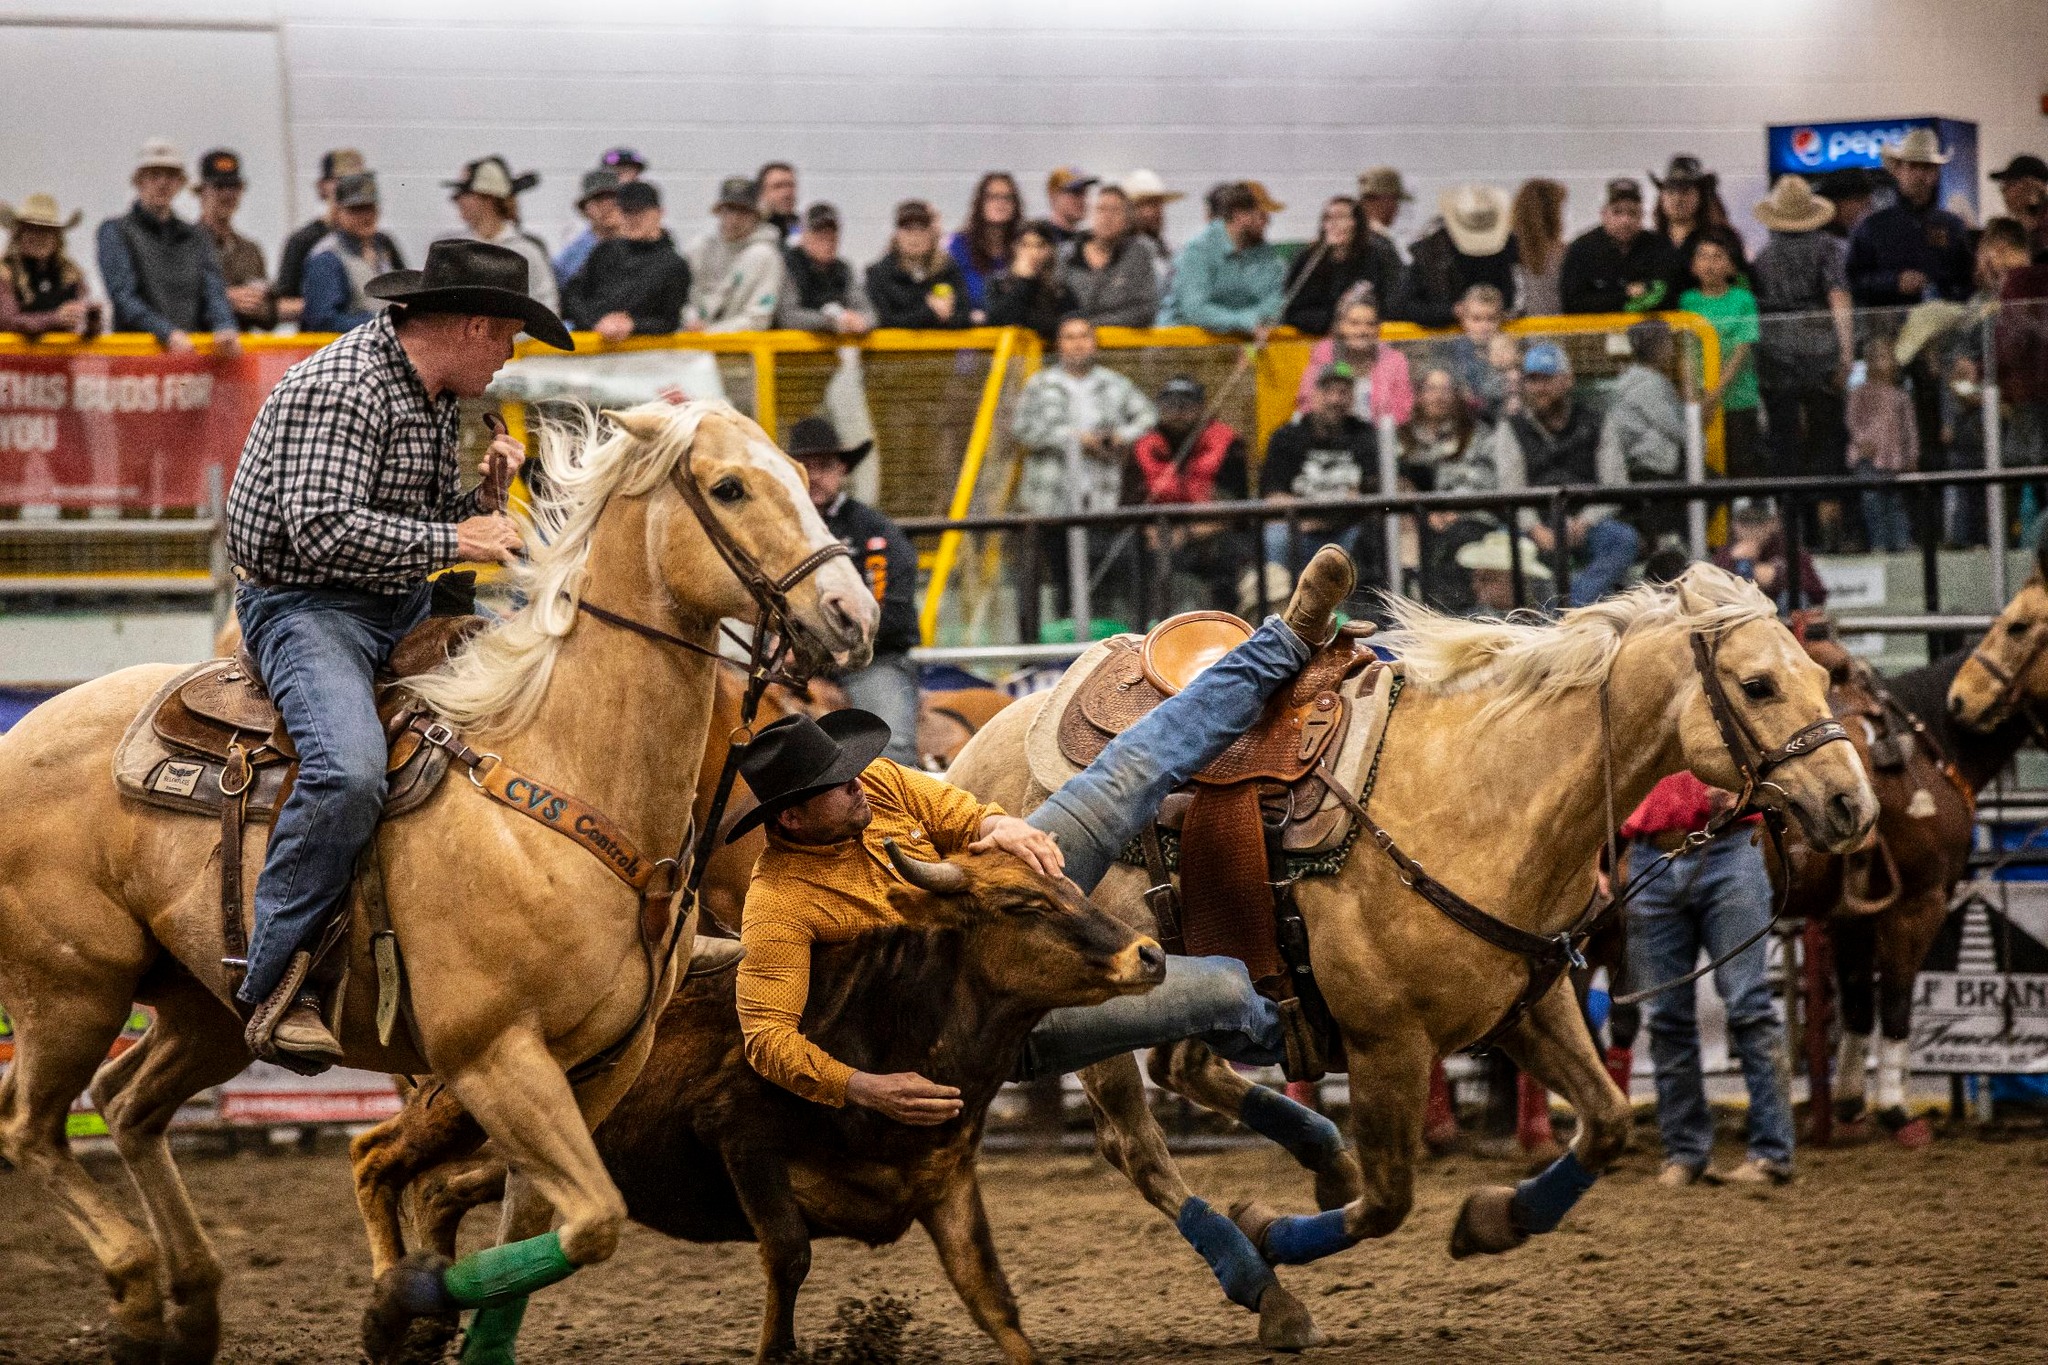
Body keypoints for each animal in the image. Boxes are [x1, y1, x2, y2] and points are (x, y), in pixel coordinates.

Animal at [0, 401, 872, 1358]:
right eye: (729, 486)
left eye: (799, 476)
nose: (852, 611)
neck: (557, 771)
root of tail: (24, 730)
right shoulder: (493, 1057)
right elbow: (592, 1221)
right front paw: (399, 1305)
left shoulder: (597, 1067)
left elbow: (552, 1236)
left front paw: (435, 1317)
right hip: (71, 990)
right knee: (30, 1127)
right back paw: (134, 1288)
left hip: (208, 1010)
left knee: (127, 1105)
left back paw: (193, 1298)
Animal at [942, 560, 1875, 1342]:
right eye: (1757, 684)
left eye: (1822, 675)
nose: (1853, 805)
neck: (1479, 795)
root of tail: (970, 760)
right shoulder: (1388, 1042)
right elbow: (1388, 1200)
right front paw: (1273, 1230)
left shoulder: (1529, 1005)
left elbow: (1607, 1123)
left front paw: (1491, 1220)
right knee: (1137, 1143)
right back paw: (1261, 1280)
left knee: (1189, 1065)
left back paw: (1322, 1156)